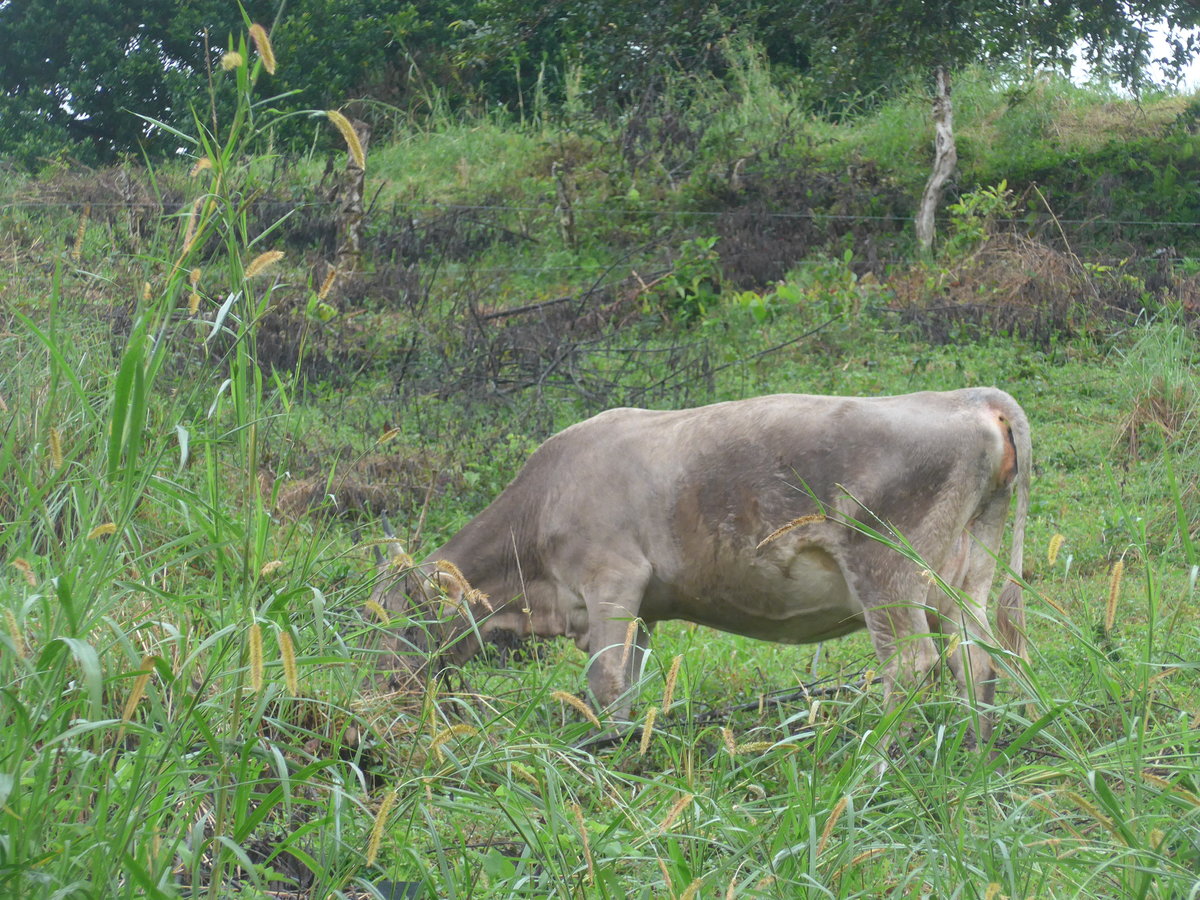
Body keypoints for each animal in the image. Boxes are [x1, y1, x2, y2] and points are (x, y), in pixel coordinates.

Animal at [370, 388, 1030, 743]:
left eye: (401, 624)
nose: (380, 697)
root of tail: (970, 398)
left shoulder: (612, 578)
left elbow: (604, 681)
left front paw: (602, 755)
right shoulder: (643, 608)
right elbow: (631, 681)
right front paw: (627, 747)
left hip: (885, 566)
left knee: (911, 664)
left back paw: (879, 757)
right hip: (963, 573)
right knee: (976, 655)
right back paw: (974, 747)